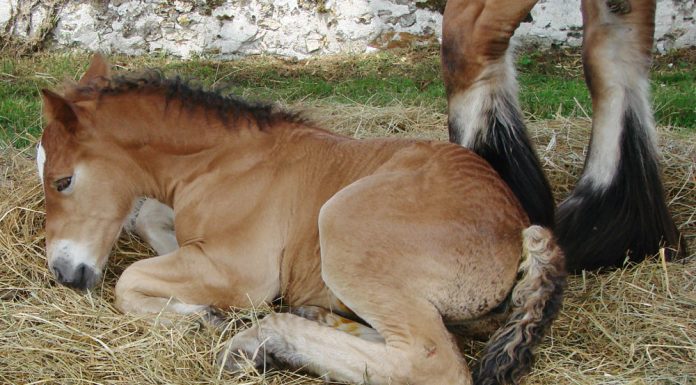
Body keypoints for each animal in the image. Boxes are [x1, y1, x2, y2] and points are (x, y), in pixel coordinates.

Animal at [38, 54, 564, 384]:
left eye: (63, 180)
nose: (63, 273)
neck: (222, 161)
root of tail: (519, 228)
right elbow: (150, 225)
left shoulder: (243, 271)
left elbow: (130, 280)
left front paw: (203, 316)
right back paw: (314, 318)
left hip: (343, 225)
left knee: (430, 361)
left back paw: (262, 341)